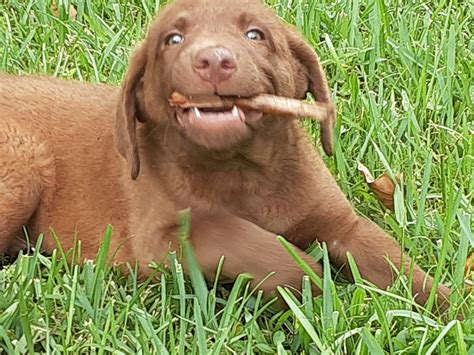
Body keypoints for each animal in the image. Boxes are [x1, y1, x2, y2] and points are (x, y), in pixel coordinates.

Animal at [0, 0, 450, 312]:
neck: (242, 170)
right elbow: (239, 236)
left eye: (255, 35)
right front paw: (313, 280)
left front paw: (449, 308)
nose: (214, 60)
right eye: (173, 39)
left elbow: (395, 262)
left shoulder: (343, 224)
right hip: (23, 162)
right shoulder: (157, 239)